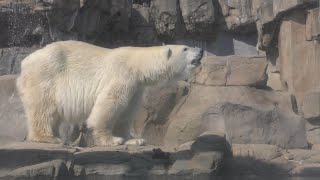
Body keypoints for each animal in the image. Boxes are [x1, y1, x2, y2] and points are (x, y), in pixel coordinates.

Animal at [16, 40, 202, 146]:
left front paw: (135, 139)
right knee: (43, 108)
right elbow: (108, 105)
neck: (138, 64)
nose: (200, 50)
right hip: (45, 76)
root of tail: (25, 62)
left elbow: (126, 112)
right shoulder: (122, 75)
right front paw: (112, 140)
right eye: (185, 48)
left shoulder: (136, 87)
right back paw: (48, 137)